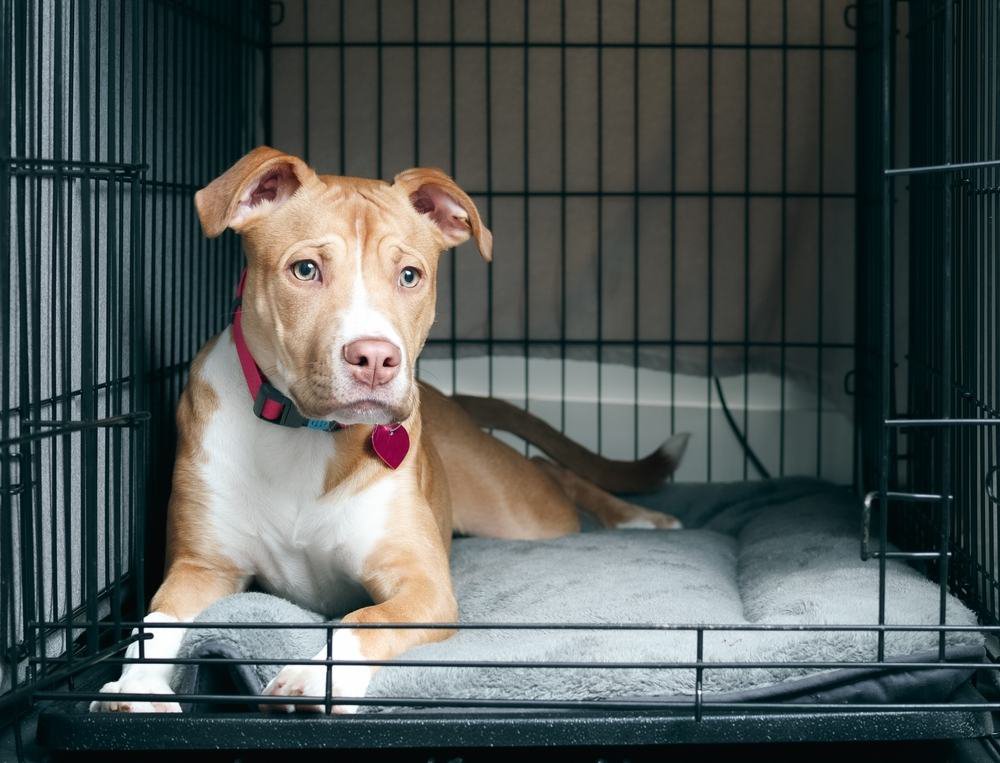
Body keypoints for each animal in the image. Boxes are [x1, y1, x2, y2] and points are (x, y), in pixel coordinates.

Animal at [92, 148, 688, 716]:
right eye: (305, 269)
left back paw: (642, 519)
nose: (376, 359)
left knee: (551, 471)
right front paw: (136, 684)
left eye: (409, 276)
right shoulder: (200, 568)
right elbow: (152, 625)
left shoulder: (422, 585)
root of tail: (453, 400)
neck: (306, 432)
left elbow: (363, 619)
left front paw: (316, 675)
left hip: (520, 512)